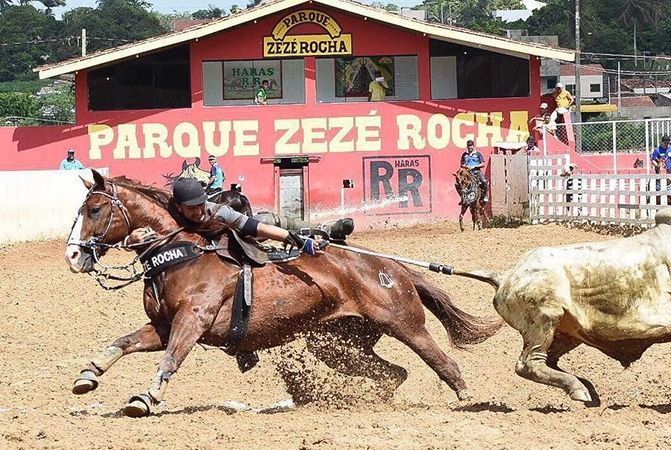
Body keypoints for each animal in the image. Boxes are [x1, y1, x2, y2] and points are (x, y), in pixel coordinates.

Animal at [65, 170, 502, 418]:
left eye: (95, 210)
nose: (72, 255)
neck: (183, 252)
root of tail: (389, 266)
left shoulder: (192, 321)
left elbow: (171, 360)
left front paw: (145, 398)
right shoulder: (161, 325)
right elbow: (122, 343)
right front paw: (88, 375)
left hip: (406, 325)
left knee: (444, 363)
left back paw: (468, 400)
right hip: (337, 344)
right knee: (394, 373)